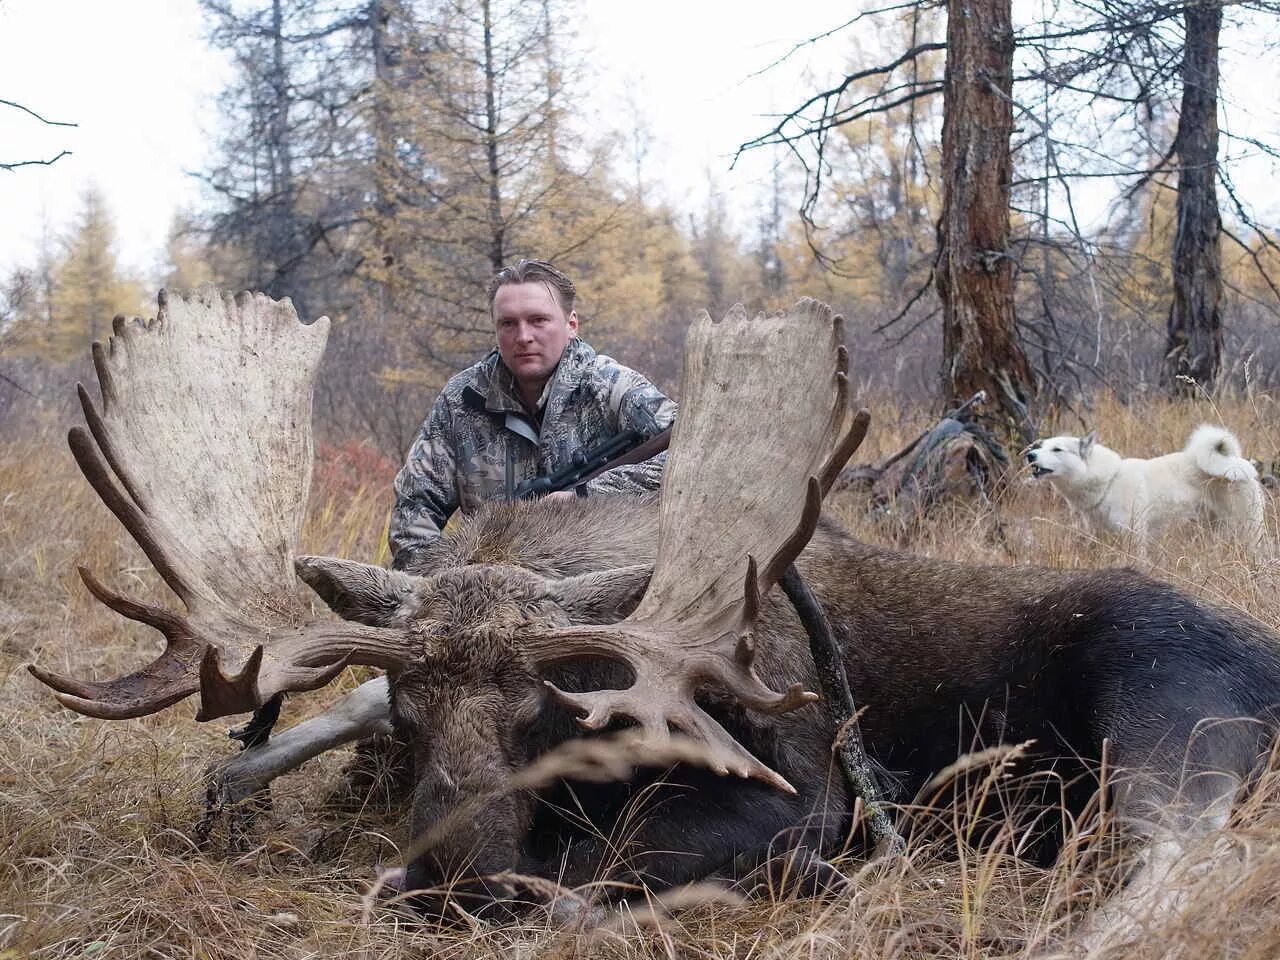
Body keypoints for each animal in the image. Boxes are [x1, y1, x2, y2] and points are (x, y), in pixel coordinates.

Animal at [1024, 427, 1264, 555]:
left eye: (1057, 449)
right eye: (1041, 447)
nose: (1030, 455)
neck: (1109, 482)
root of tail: (1236, 462)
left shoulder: (1135, 539)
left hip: (1247, 531)